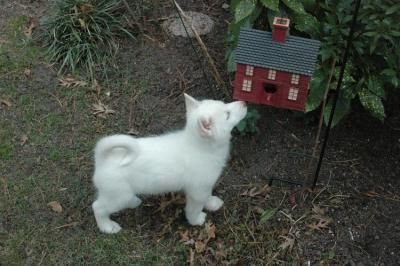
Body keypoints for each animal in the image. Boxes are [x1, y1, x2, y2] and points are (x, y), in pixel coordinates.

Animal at [92, 93, 247, 233]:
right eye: (227, 115)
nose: (245, 102)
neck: (199, 146)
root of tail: (103, 158)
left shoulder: (204, 187)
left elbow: (207, 196)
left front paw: (212, 203)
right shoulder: (197, 191)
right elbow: (194, 208)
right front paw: (196, 220)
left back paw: (133, 201)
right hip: (117, 196)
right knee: (98, 207)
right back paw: (107, 226)